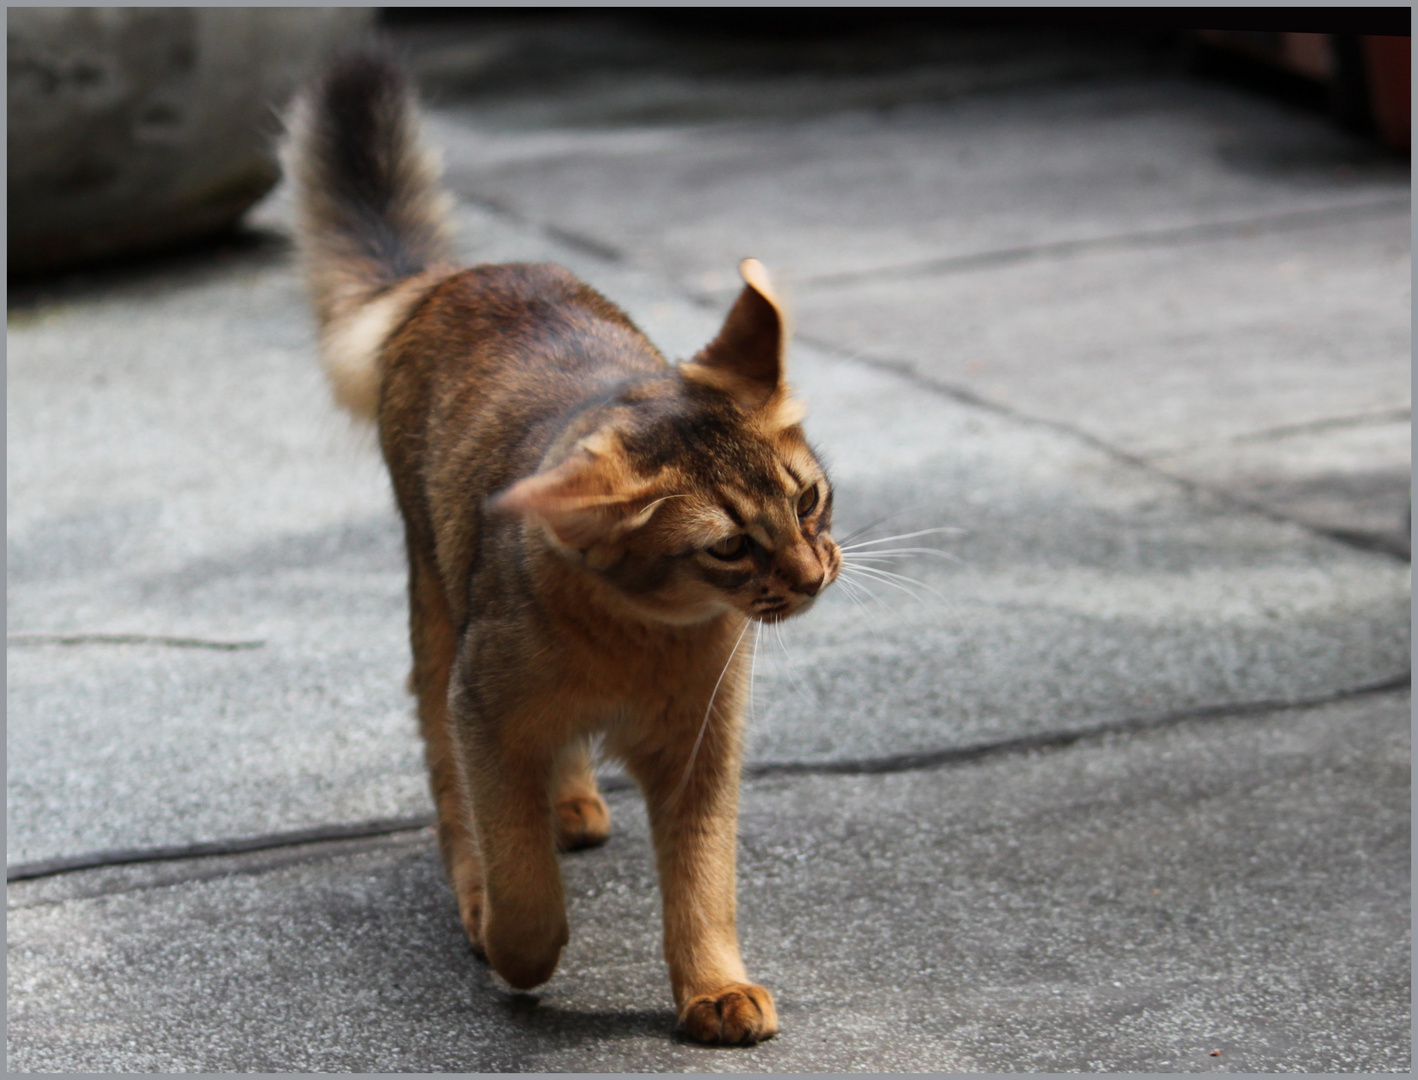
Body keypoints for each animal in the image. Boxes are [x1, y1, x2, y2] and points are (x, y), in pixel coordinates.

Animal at [287, 50, 839, 1043]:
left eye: (808, 498)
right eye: (729, 549)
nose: (815, 576)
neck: (643, 636)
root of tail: (463, 273)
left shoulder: (704, 745)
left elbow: (702, 877)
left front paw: (714, 988)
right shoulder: (487, 714)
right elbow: (517, 868)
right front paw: (513, 944)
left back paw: (575, 800)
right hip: (435, 607)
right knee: (447, 777)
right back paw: (481, 876)